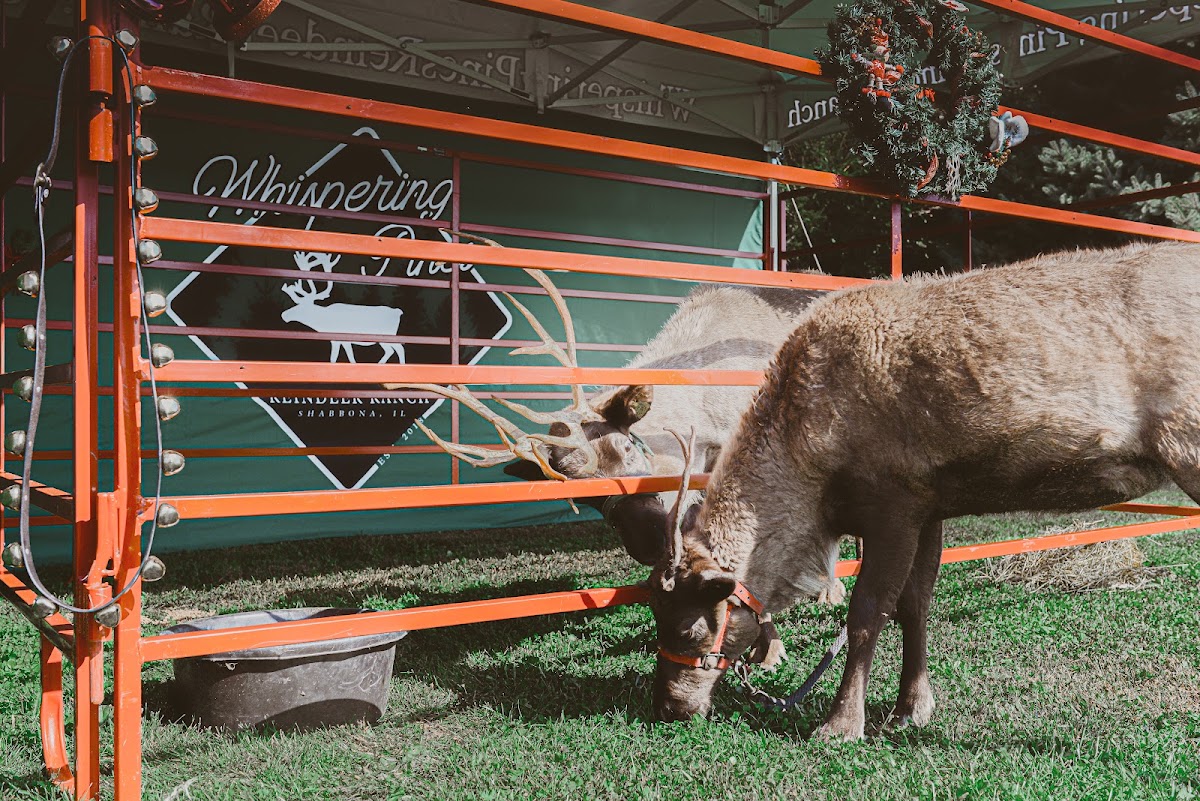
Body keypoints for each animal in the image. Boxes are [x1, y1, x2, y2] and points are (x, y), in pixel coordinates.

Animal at [648, 240, 1200, 739]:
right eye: (655, 614)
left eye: (688, 626)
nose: (669, 707)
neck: (809, 477)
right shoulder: (929, 505)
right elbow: (915, 605)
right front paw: (910, 708)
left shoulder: (893, 504)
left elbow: (868, 612)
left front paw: (842, 723)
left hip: (1187, 444)